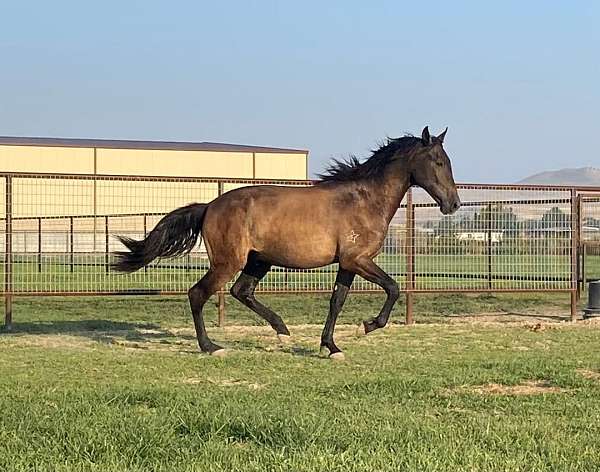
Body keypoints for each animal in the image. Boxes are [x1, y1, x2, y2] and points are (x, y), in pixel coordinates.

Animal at [112, 125, 460, 358]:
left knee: (241, 292)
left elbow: (337, 301)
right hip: (229, 261)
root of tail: (209, 206)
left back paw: (283, 332)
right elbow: (393, 287)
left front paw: (331, 347)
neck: (364, 199)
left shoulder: (348, 264)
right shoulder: (358, 260)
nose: (453, 204)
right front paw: (367, 325)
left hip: (258, 260)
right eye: (438, 162)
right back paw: (212, 347)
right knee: (198, 294)